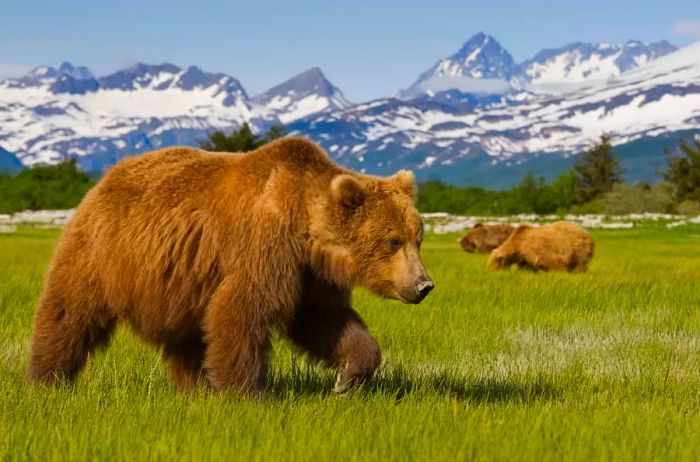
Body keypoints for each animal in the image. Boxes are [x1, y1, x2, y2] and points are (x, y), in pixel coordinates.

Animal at [26, 137, 432, 394]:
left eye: (418, 237)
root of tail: (106, 177)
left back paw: (195, 387)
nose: (423, 285)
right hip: (102, 250)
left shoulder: (310, 274)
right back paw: (46, 379)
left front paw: (348, 377)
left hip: (180, 281)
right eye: (393, 241)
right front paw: (245, 393)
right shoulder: (263, 247)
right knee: (70, 311)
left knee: (186, 337)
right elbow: (243, 310)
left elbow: (325, 320)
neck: (304, 227)